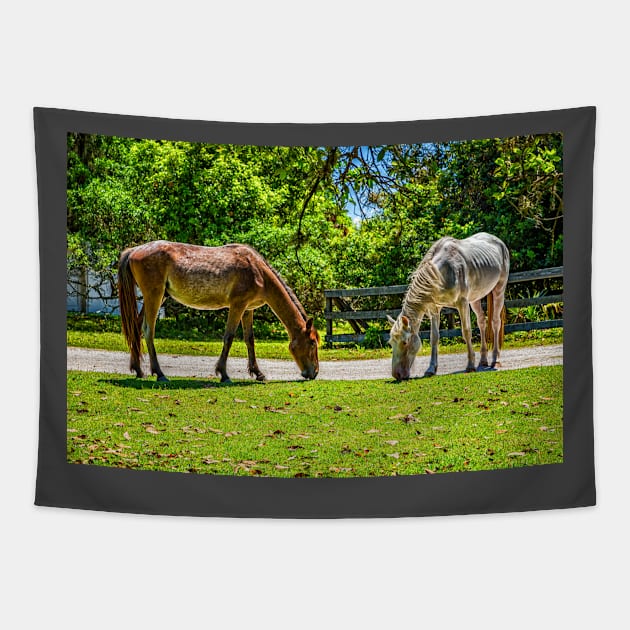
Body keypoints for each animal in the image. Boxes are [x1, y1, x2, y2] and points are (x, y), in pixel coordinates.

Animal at [118, 241, 320, 382]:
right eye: (312, 343)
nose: (314, 373)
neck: (257, 271)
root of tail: (134, 250)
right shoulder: (237, 305)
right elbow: (229, 337)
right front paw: (223, 373)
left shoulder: (247, 309)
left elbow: (249, 339)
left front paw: (258, 373)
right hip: (154, 296)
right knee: (148, 330)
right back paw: (159, 373)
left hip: (157, 297)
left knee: (136, 327)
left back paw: (139, 370)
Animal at [388, 232, 512, 380]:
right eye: (391, 343)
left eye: (405, 342)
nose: (397, 375)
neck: (441, 274)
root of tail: (498, 241)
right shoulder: (434, 309)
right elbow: (434, 337)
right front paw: (431, 369)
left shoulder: (462, 303)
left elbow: (466, 332)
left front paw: (470, 365)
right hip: (475, 298)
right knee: (482, 321)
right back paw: (483, 360)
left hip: (499, 290)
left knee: (495, 322)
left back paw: (495, 360)